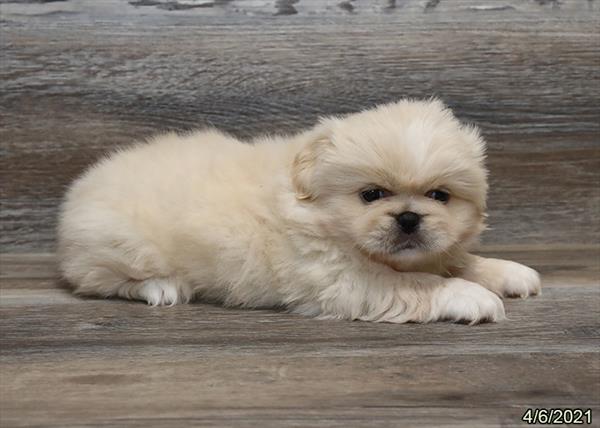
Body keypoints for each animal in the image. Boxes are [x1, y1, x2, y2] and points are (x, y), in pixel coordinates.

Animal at [58, 99, 540, 324]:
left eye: (439, 196)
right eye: (371, 195)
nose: (408, 217)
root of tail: (83, 187)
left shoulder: (432, 251)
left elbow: (460, 259)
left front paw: (508, 273)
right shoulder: (346, 282)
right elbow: (420, 284)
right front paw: (471, 296)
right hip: (124, 247)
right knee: (101, 281)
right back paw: (162, 287)